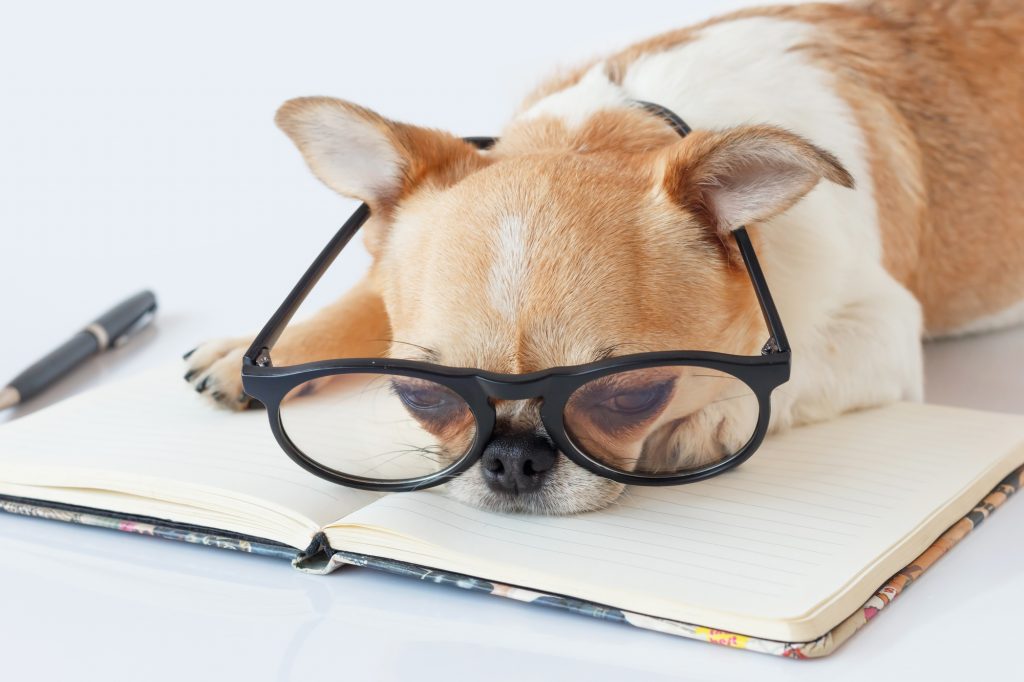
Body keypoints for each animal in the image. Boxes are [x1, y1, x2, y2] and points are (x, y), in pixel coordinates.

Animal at [186, 0, 1024, 509]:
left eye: (634, 395)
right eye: (419, 395)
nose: (511, 456)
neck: (622, 125)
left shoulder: (883, 329)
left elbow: (799, 367)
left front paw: (708, 417)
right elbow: (363, 302)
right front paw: (254, 351)